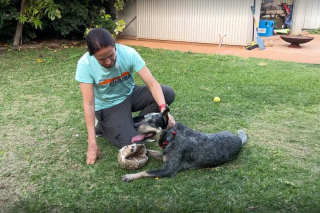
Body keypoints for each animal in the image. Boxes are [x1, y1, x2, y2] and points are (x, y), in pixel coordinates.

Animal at [120, 109, 248, 182]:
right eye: (144, 117)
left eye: (151, 121)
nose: (135, 124)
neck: (171, 136)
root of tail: (239, 140)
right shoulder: (163, 155)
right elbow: (149, 151)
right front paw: (137, 150)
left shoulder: (168, 170)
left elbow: (146, 172)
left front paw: (130, 176)